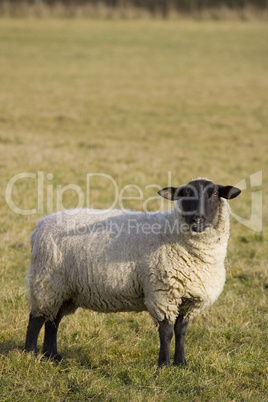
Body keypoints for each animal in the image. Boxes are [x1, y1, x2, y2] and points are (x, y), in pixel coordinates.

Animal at [24, 178, 241, 364]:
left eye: (214, 194)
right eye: (184, 194)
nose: (198, 220)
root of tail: (40, 225)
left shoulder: (190, 300)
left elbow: (181, 331)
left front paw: (181, 363)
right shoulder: (162, 294)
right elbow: (166, 332)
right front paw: (164, 364)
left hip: (64, 289)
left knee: (53, 321)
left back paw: (52, 356)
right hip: (46, 281)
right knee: (36, 320)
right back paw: (30, 354)